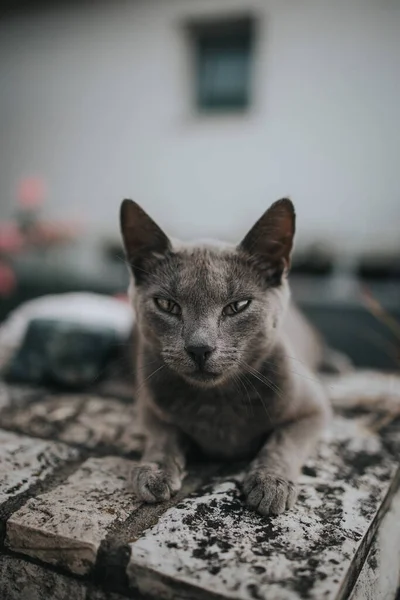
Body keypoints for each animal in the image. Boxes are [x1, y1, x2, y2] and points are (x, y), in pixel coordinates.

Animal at [119, 198, 332, 516]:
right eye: (167, 304)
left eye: (238, 306)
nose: (199, 348)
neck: (217, 401)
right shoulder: (149, 405)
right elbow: (163, 434)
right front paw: (155, 471)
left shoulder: (314, 409)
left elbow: (282, 441)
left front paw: (272, 483)